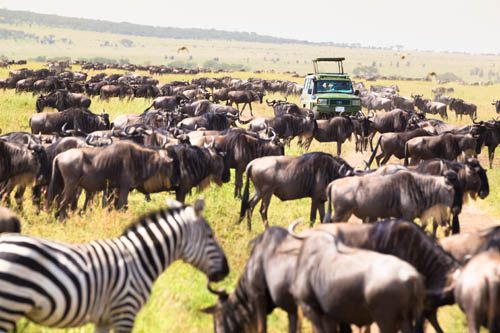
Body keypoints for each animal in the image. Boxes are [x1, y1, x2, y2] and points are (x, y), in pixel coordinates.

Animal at [0, 198, 227, 330]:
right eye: (210, 236)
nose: (226, 270)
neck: (140, 258)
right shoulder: (125, 310)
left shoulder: (104, 318)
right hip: (9, 305)